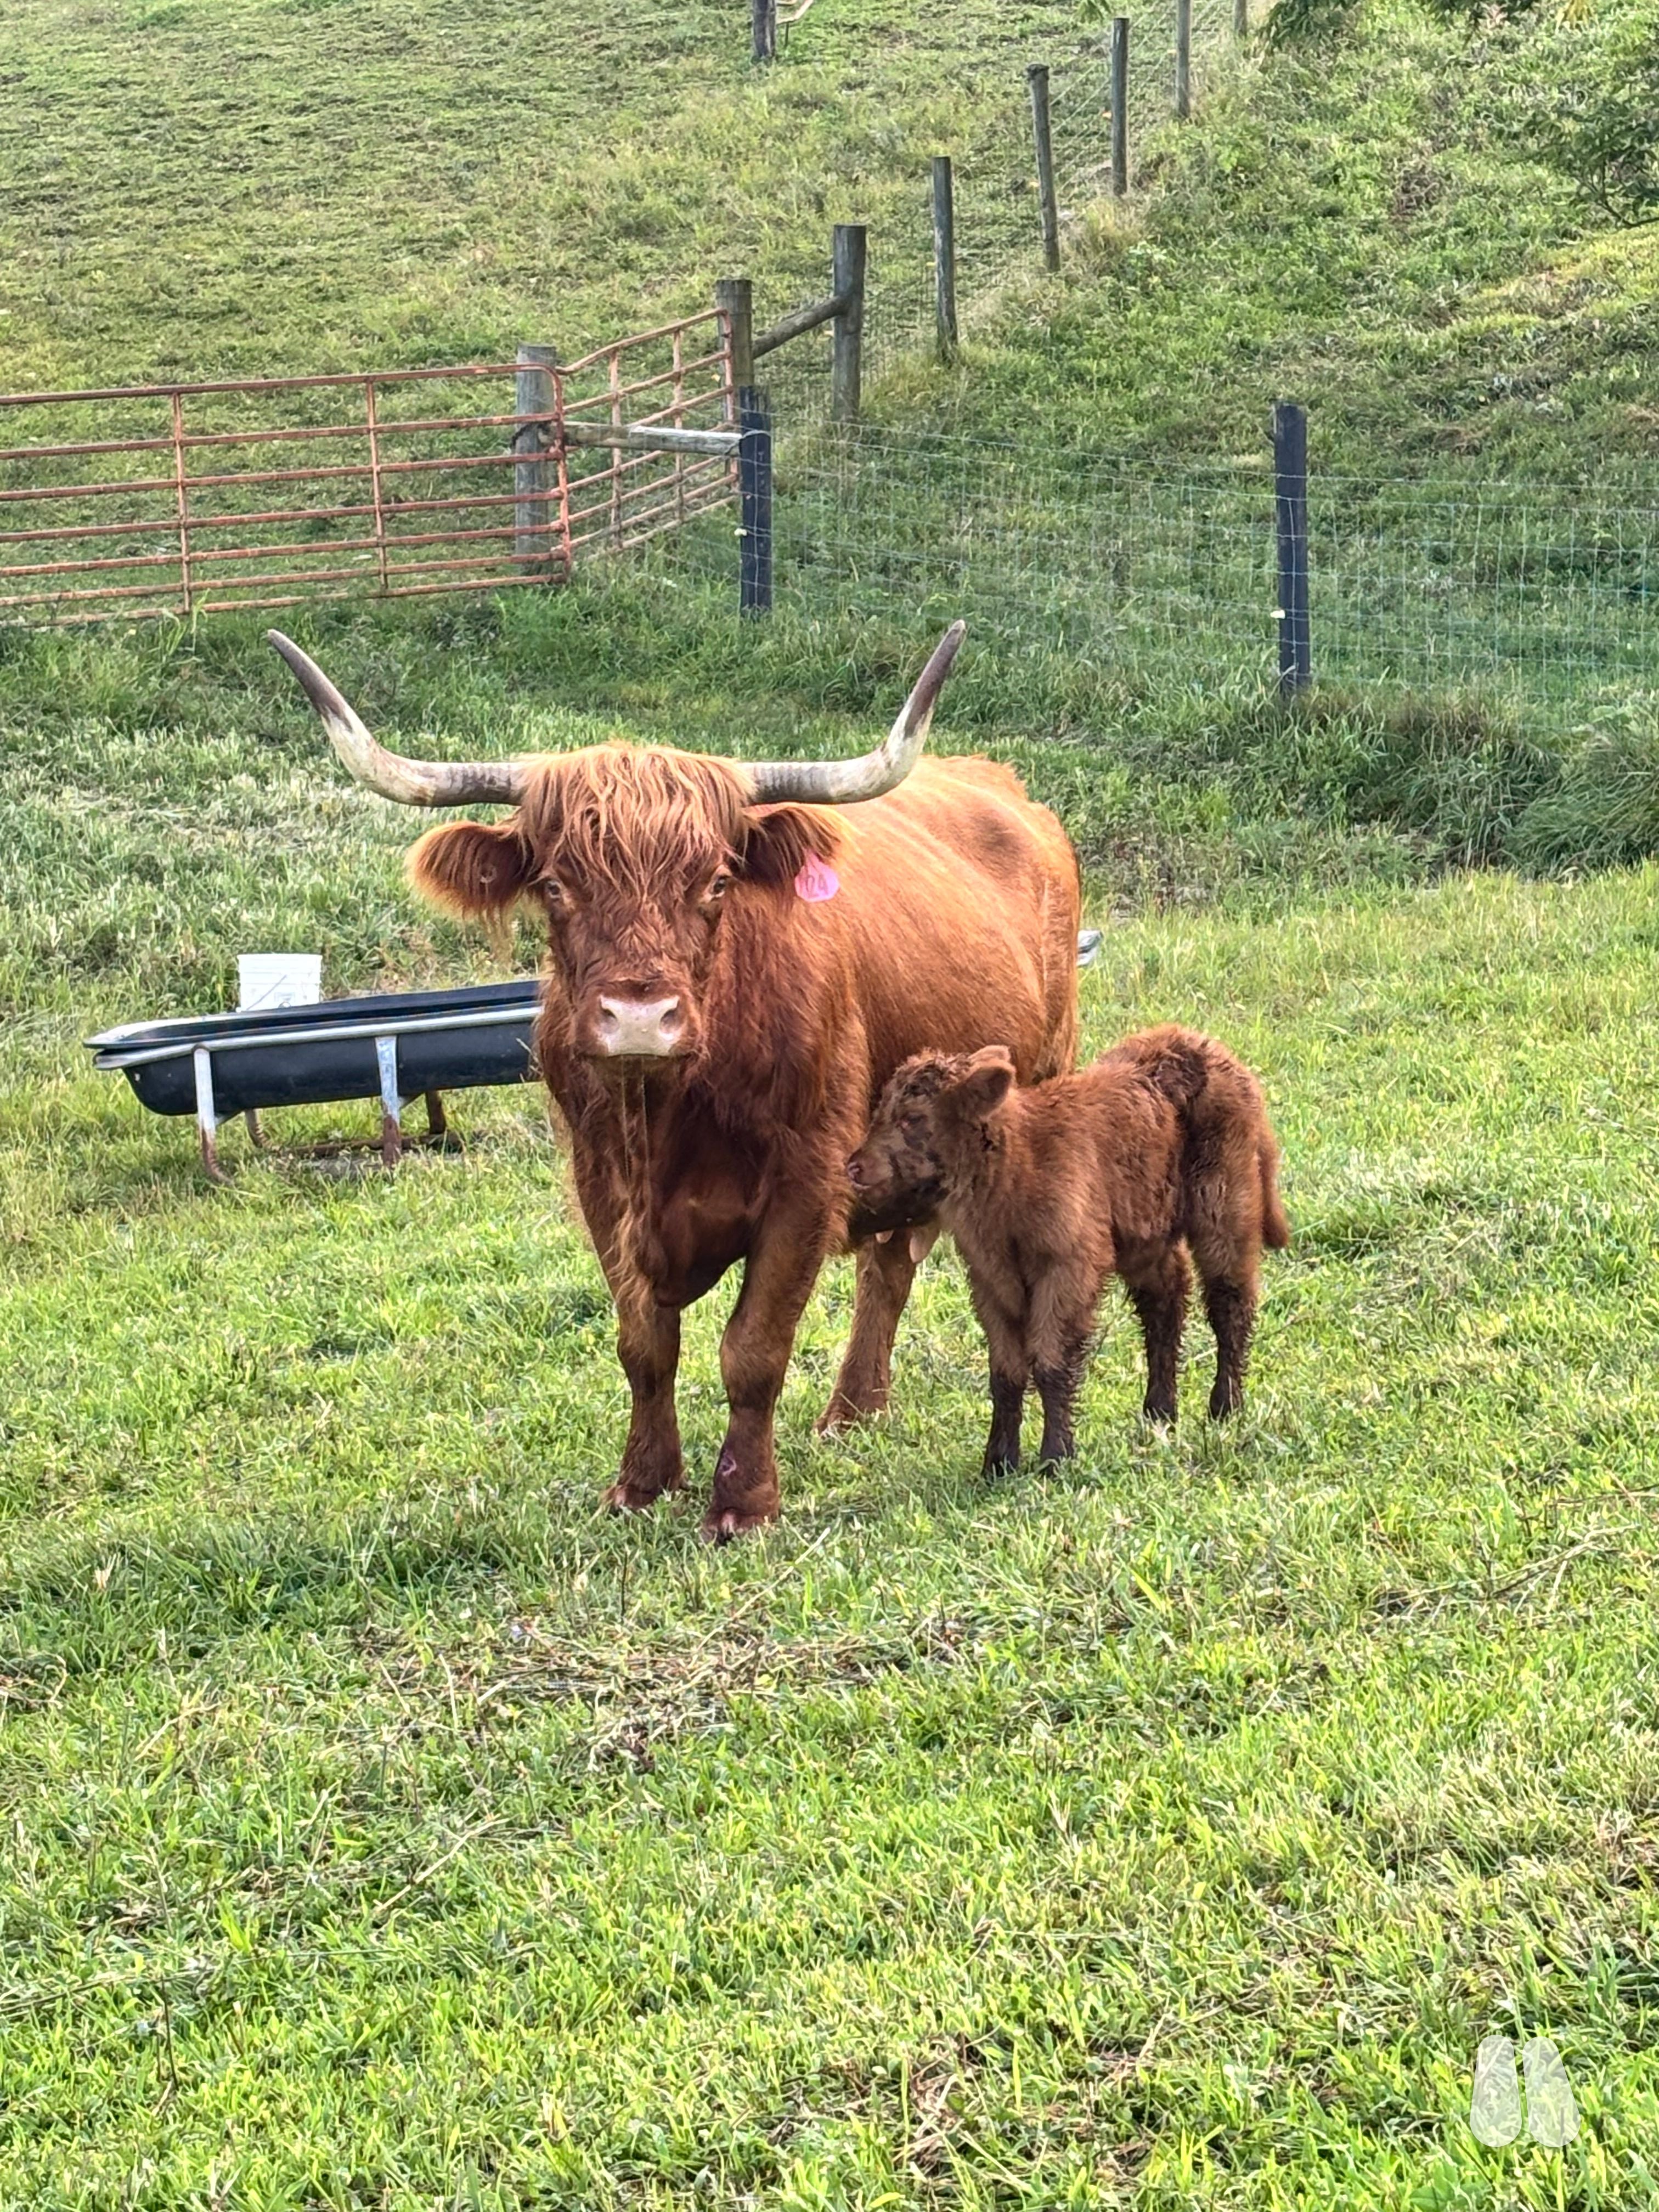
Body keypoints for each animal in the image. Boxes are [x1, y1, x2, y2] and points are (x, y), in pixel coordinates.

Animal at [269, 624, 1080, 1536]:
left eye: (716, 881)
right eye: (555, 884)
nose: (638, 1017)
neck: (665, 1118)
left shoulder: (809, 1181)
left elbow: (753, 1348)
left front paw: (744, 1502)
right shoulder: (601, 1184)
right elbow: (643, 1344)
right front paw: (643, 1482)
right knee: (891, 1264)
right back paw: (852, 1413)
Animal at [848, 1026, 1290, 1475]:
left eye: (912, 1119)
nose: (854, 1167)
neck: (1019, 1167)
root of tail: (1198, 1043)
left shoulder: (1069, 1265)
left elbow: (1052, 1360)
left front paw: (1056, 1457)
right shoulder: (990, 1279)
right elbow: (1005, 1372)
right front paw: (998, 1463)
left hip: (1227, 1203)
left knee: (1229, 1300)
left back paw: (1225, 1407)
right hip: (1145, 1231)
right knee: (1166, 1302)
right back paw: (1159, 1412)